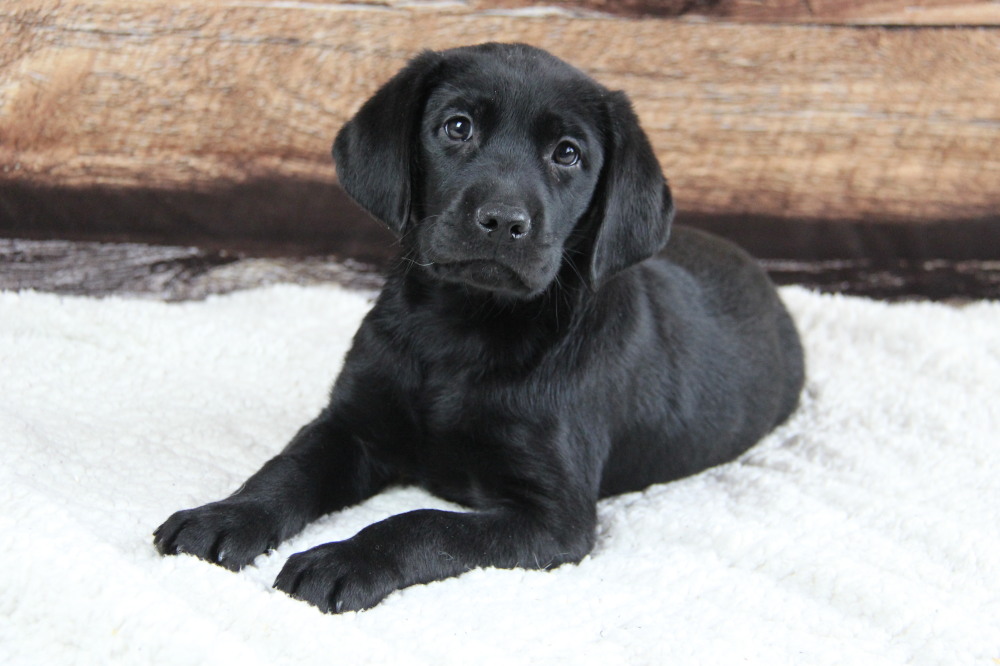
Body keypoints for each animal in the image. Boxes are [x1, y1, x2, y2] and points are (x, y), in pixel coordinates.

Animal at [154, 41, 804, 612]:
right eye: (458, 127)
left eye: (567, 154)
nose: (503, 221)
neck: (462, 328)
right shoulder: (353, 425)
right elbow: (287, 468)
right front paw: (225, 516)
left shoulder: (551, 517)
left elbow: (423, 524)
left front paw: (341, 560)